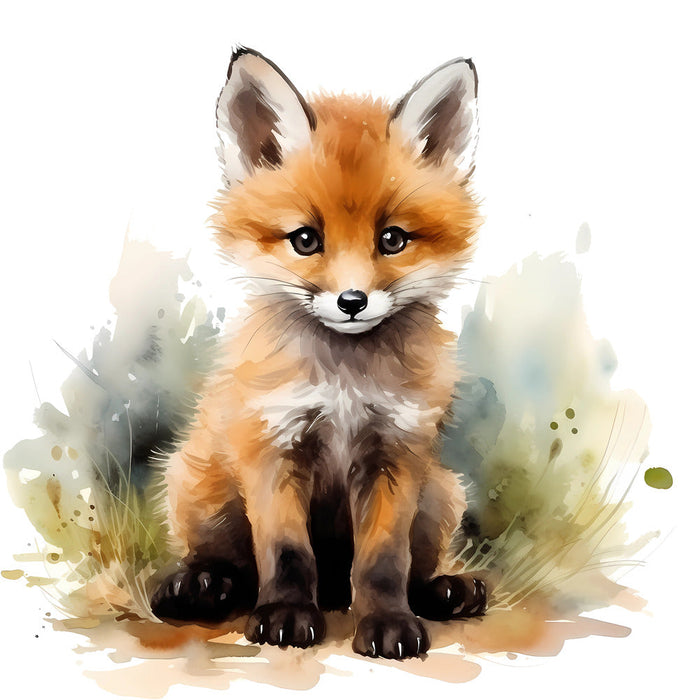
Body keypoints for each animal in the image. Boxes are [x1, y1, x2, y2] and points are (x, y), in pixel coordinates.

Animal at [150, 47, 487, 660]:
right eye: (305, 240)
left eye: (392, 239)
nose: (352, 302)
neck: (343, 386)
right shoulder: (273, 445)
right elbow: (286, 553)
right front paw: (284, 616)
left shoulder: (395, 453)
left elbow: (383, 561)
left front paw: (388, 623)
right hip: (196, 482)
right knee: (229, 565)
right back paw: (200, 585)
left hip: (442, 492)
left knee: (410, 568)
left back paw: (442, 590)